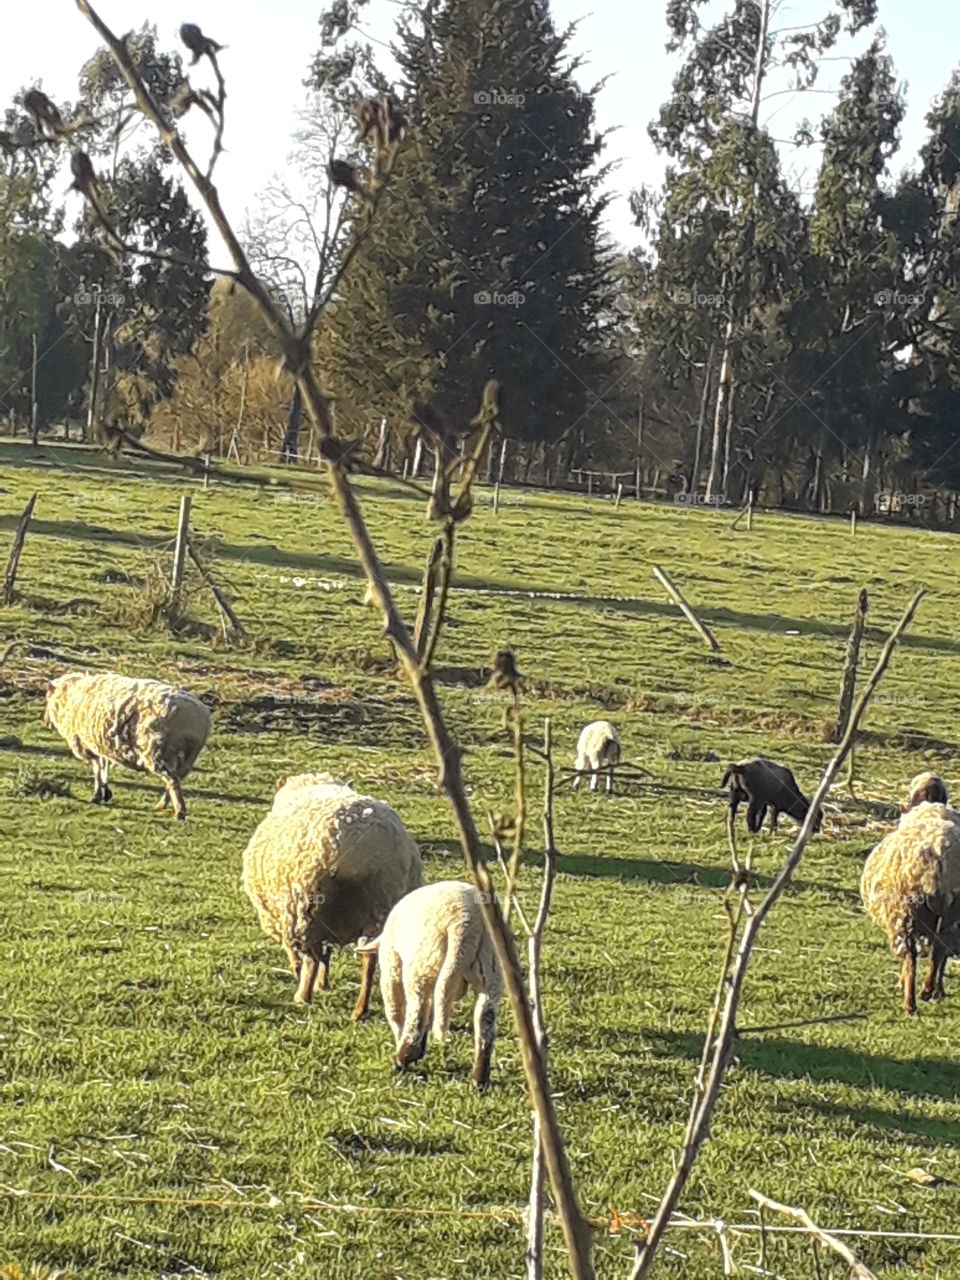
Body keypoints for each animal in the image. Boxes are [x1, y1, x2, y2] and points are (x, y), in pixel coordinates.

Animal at [42, 670, 211, 820]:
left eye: (47, 697)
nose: (46, 721)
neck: (69, 696)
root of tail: (199, 716)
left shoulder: (89, 744)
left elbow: (97, 769)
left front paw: (97, 795)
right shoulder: (101, 744)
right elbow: (103, 766)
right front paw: (105, 793)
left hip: (156, 751)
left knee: (172, 780)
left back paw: (179, 812)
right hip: (187, 756)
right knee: (175, 779)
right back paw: (163, 805)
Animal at [241, 771, 422, 1015]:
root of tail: (365, 846)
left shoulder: (285, 915)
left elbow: (298, 953)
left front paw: (302, 976)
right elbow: (327, 955)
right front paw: (323, 984)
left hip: (306, 906)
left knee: (311, 956)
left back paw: (303, 996)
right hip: (380, 906)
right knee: (369, 959)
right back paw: (359, 1010)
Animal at [358, 880, 503, 1089]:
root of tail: (466, 923)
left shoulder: (391, 966)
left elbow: (395, 1010)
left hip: (422, 966)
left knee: (416, 1013)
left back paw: (402, 1058)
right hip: (490, 971)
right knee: (485, 1021)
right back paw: (479, 1080)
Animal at [860, 800, 960, 1013]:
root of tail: (939, 851)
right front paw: (938, 991)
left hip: (905, 913)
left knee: (911, 957)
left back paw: (910, 1003)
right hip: (951, 915)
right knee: (940, 951)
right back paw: (929, 990)